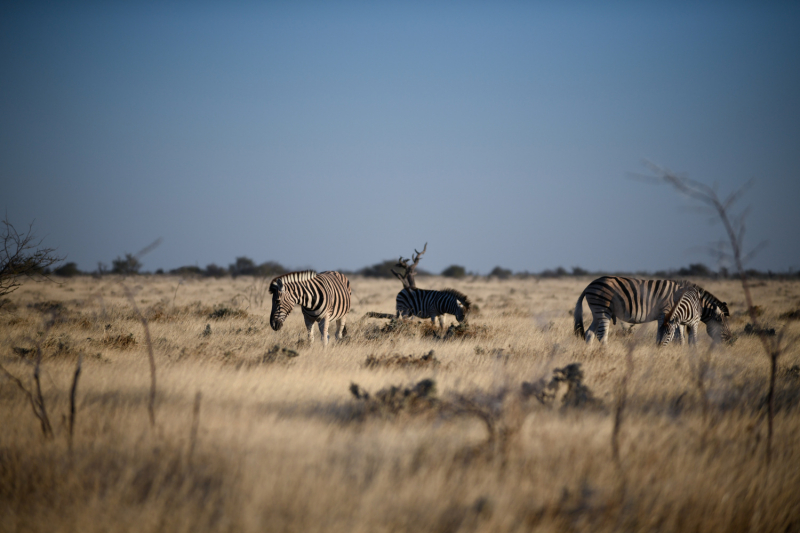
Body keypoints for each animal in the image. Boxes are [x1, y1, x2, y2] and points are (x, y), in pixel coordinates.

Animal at [568, 274, 732, 344]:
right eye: (723, 324)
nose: (730, 341)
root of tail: (589, 285)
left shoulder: (675, 318)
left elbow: (680, 337)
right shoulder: (666, 313)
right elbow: (667, 334)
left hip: (597, 311)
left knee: (589, 333)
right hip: (603, 309)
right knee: (602, 335)